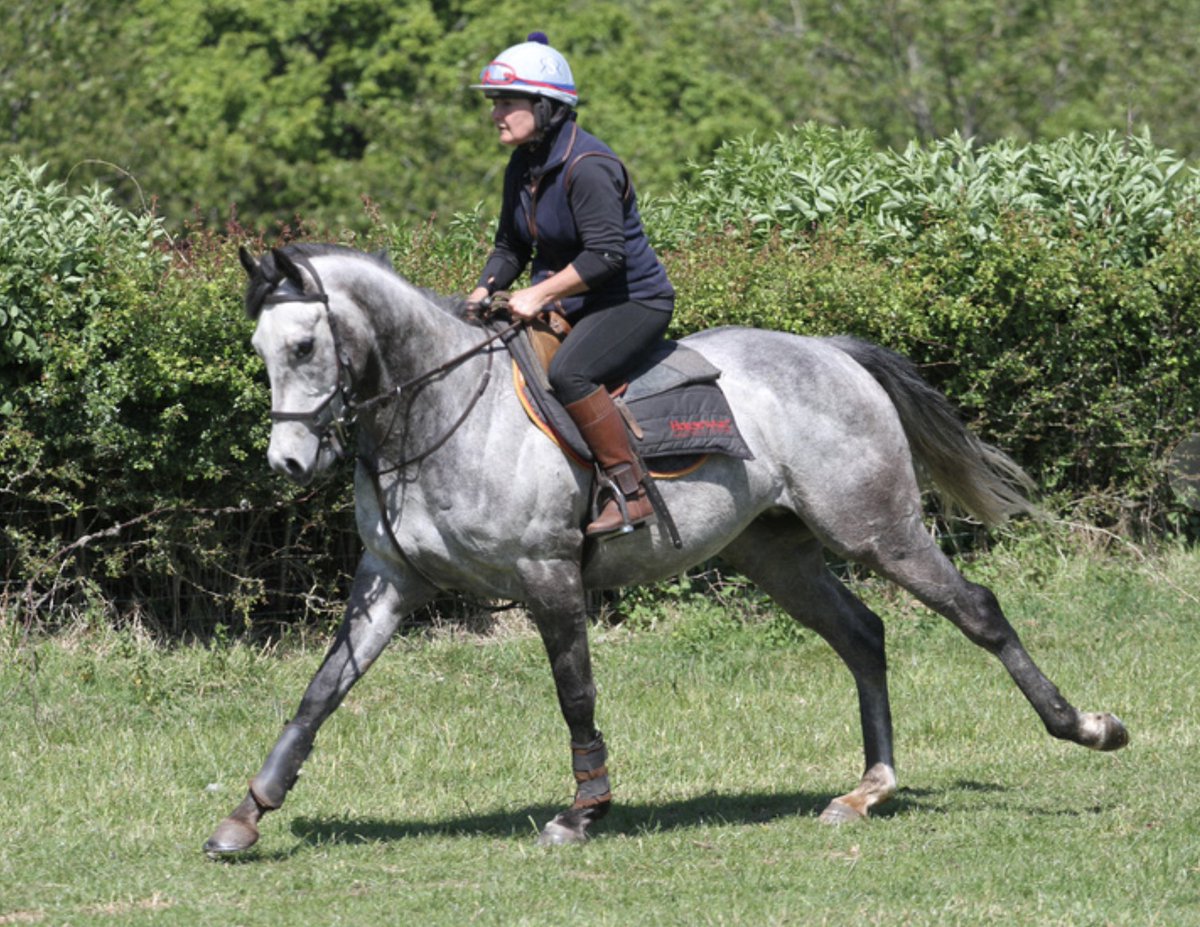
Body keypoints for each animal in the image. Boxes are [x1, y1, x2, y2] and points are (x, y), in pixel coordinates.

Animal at [204, 244, 1123, 854]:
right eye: (260, 350)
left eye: (304, 346)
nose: (289, 464)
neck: (440, 410)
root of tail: (832, 353)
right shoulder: (391, 579)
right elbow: (321, 692)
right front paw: (248, 814)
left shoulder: (548, 577)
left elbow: (575, 694)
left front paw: (583, 810)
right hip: (776, 554)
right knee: (864, 636)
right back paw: (867, 789)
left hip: (877, 530)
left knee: (978, 611)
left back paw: (1085, 725)